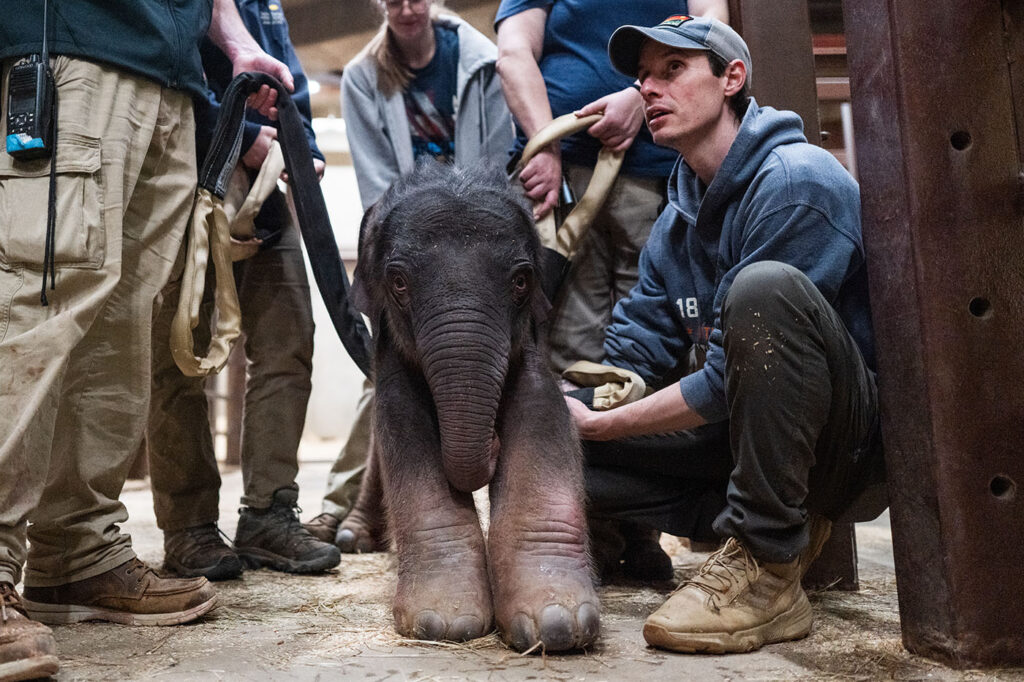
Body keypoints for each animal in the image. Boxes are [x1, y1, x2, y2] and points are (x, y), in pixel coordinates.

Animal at [345, 161, 599, 652]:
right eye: (398, 282)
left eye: (521, 281)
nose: (492, 444)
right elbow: (402, 425)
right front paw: (444, 622)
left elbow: (542, 415)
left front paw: (558, 623)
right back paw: (352, 535)